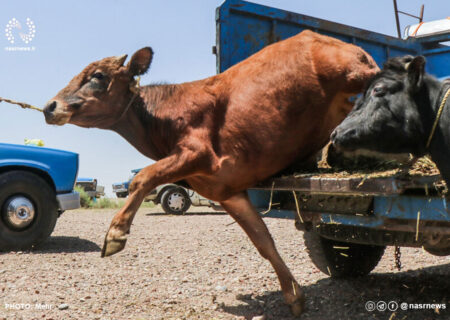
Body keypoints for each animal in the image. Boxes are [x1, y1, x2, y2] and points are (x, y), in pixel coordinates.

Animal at [44, 30, 378, 316]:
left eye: (97, 76)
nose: (50, 106)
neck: (165, 118)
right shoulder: (227, 191)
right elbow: (263, 241)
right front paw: (293, 295)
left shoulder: (198, 153)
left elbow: (143, 177)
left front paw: (116, 233)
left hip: (353, 73)